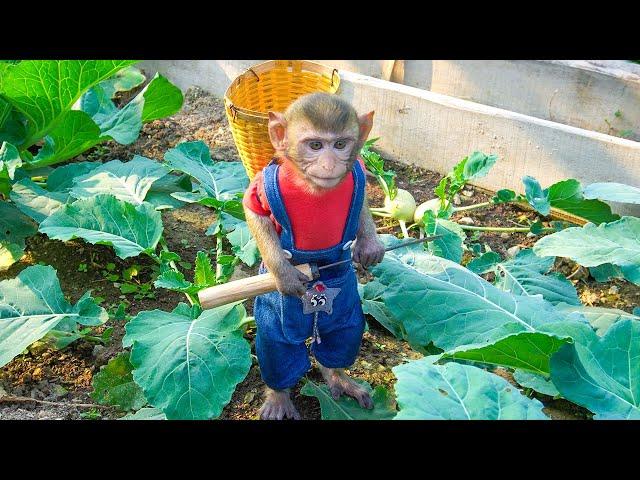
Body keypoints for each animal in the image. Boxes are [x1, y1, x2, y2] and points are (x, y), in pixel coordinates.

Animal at [244, 92, 384, 418]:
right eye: (315, 145)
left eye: (340, 144)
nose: (330, 163)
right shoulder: (263, 184)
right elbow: (254, 213)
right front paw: (284, 273)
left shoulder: (358, 169)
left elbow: (361, 200)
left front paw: (369, 244)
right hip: (275, 312)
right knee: (277, 347)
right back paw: (279, 396)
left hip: (345, 301)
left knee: (343, 336)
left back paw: (337, 376)